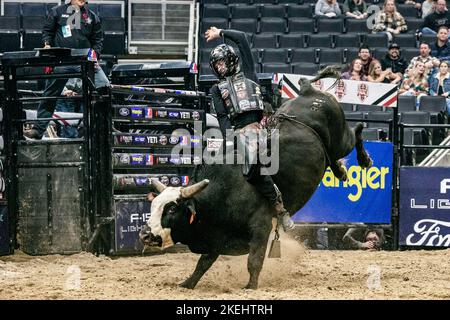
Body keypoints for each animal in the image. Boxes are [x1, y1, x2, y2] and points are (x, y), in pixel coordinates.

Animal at [141, 75, 372, 290]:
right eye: (153, 206)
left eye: (172, 209)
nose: (145, 234)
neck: (223, 191)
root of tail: (308, 91)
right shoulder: (216, 236)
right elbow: (203, 263)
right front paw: (187, 283)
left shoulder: (260, 227)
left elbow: (254, 260)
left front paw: (250, 286)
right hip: (331, 148)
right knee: (335, 156)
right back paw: (340, 171)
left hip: (341, 139)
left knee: (357, 130)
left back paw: (365, 159)